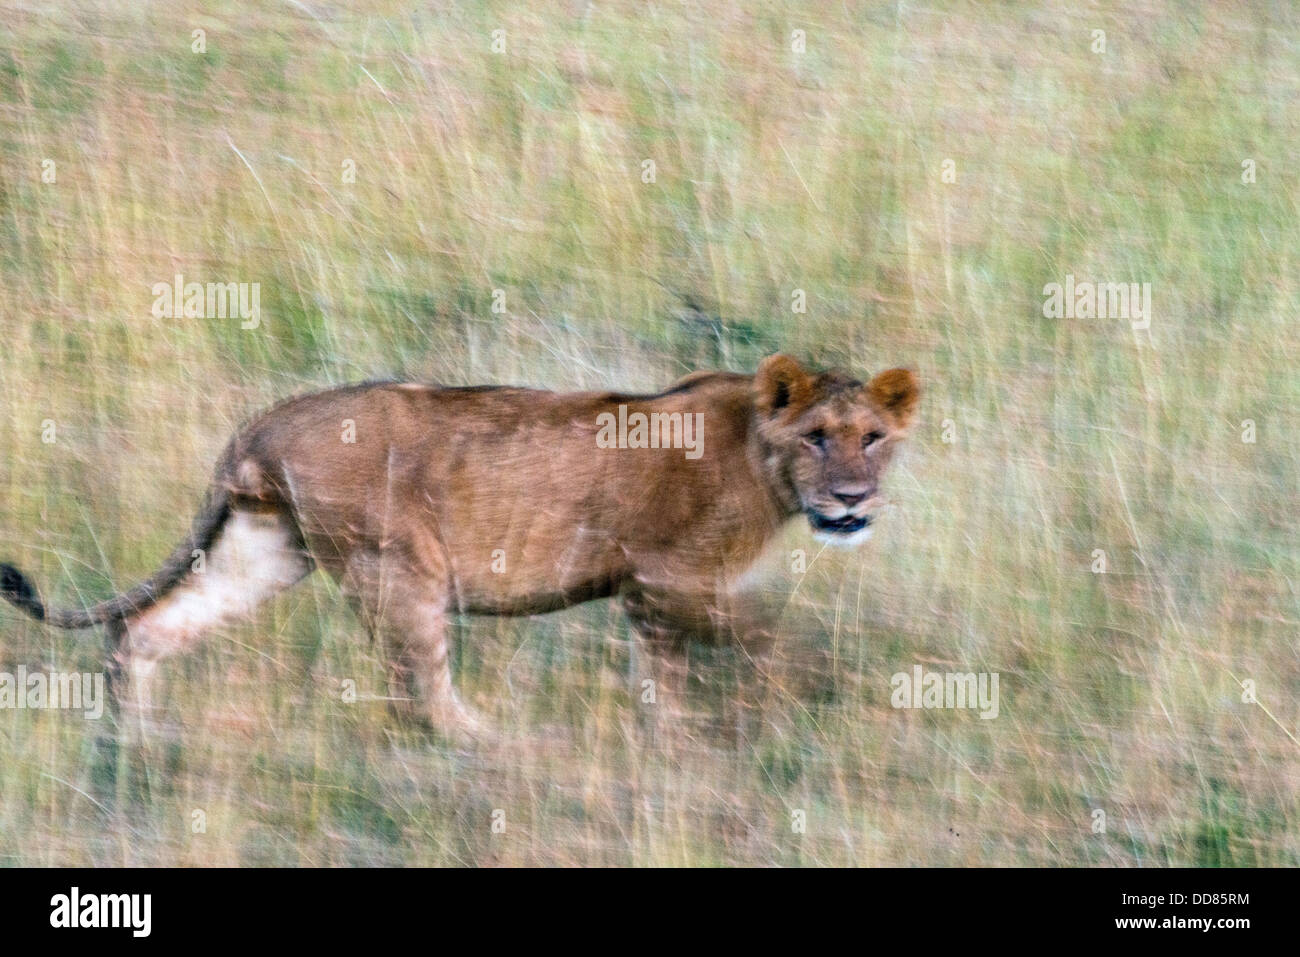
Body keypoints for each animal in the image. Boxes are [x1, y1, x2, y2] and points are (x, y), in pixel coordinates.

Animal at [0, 354, 919, 738]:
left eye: (872, 438)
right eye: (817, 438)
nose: (852, 498)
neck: (760, 457)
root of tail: (263, 422)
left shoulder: (654, 602)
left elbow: (666, 683)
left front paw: (675, 740)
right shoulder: (666, 579)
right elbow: (773, 636)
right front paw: (825, 689)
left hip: (268, 550)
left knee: (145, 628)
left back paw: (137, 740)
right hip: (399, 565)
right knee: (423, 694)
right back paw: (497, 744)